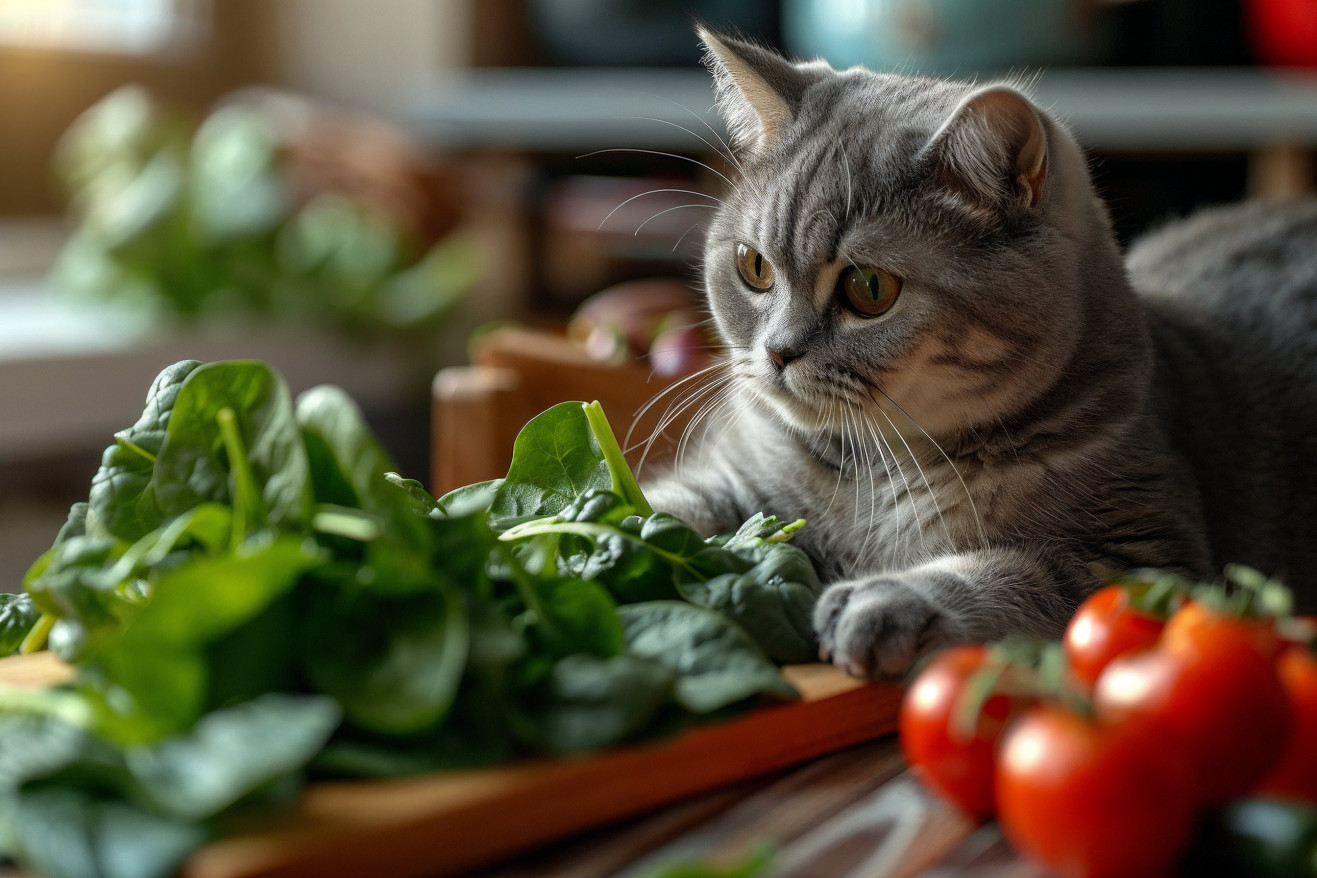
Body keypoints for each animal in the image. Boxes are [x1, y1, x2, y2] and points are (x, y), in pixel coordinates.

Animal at [640, 29, 1317, 679]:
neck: (874, 471)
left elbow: (1010, 572)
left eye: (869, 289)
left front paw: (887, 598)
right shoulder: (732, 481)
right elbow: (665, 507)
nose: (778, 352)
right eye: (753, 266)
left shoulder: (1146, 558)